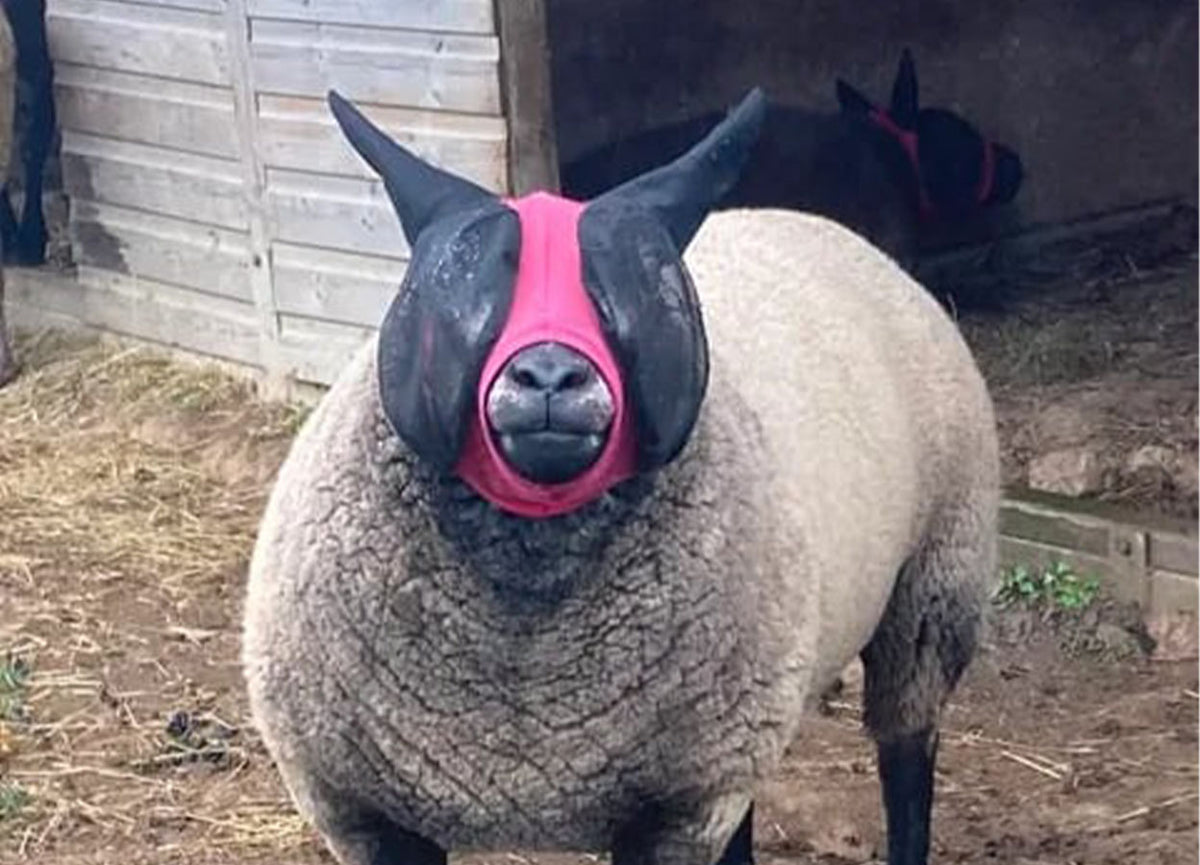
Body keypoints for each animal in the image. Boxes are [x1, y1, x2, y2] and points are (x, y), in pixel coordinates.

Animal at [242, 85, 1000, 865]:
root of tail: (805, 221)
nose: (551, 376)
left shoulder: (676, 807)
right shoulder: (360, 808)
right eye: (450, 282)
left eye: (645, 284)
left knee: (907, 753)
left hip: (933, 586)